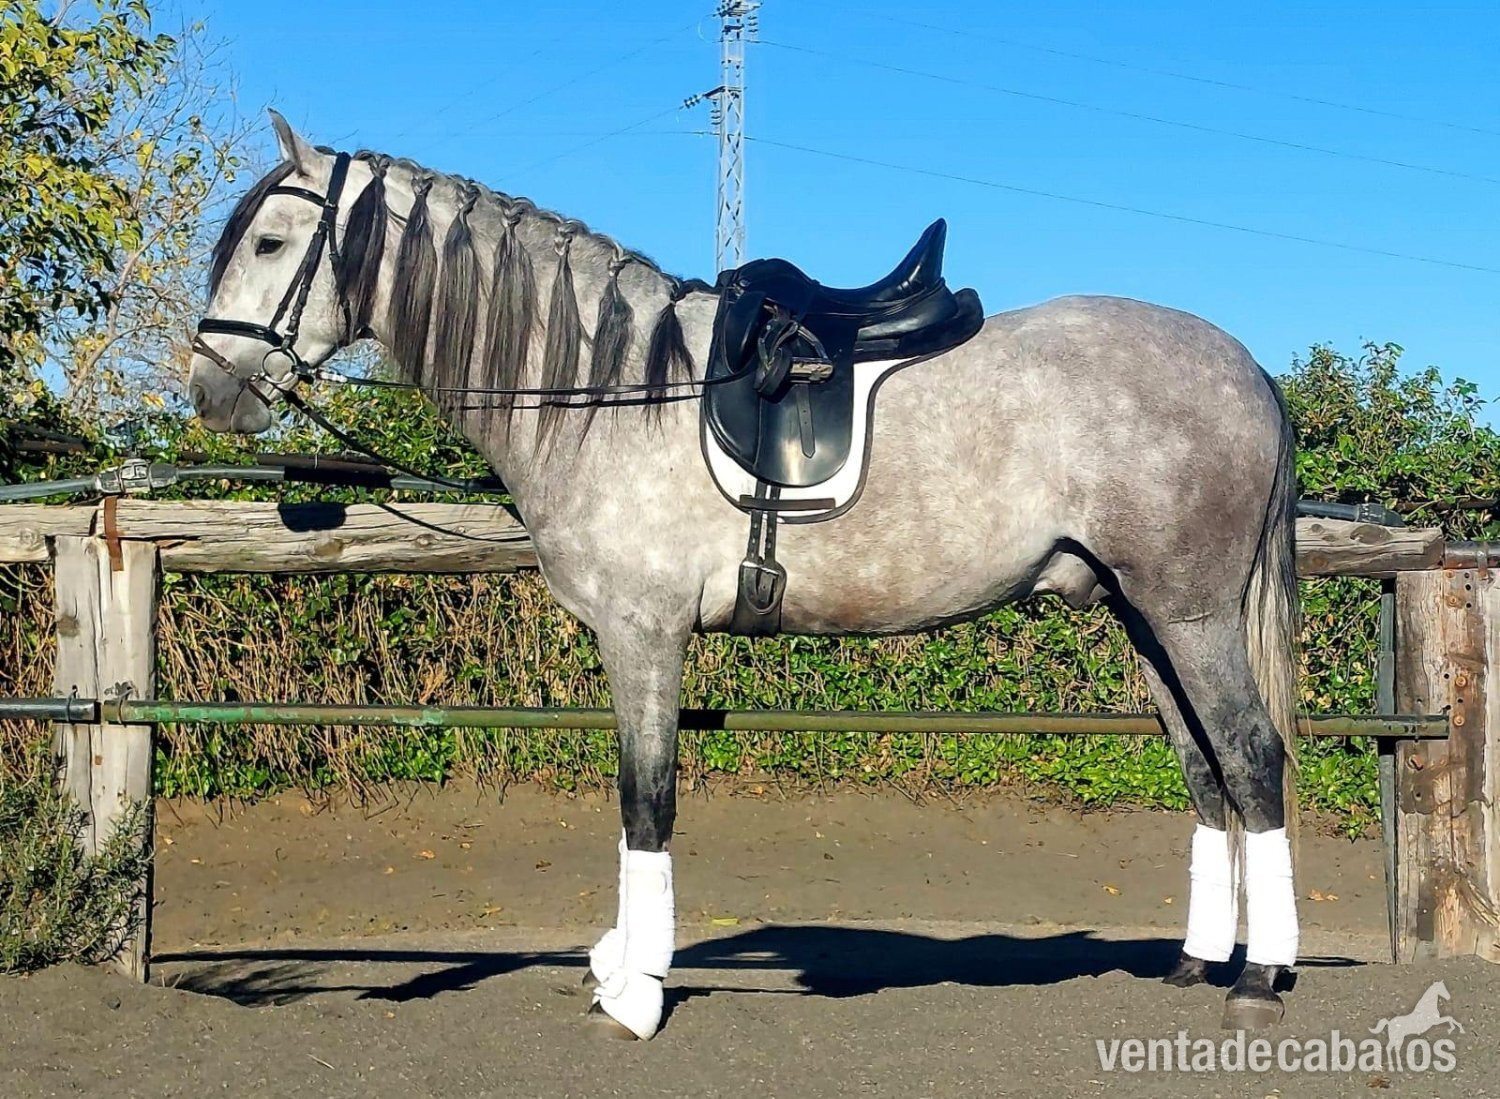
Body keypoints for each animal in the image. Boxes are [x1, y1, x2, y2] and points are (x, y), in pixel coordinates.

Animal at [188, 111, 1302, 1040]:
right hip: (1144, 615)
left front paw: (636, 992)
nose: (209, 390)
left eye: (271, 243)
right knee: (1204, 766)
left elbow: (646, 802)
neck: (611, 395)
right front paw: (619, 968)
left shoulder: (644, 633)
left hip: (1191, 614)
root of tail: (1247, 368)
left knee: (1251, 758)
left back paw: (1260, 976)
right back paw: (1199, 961)